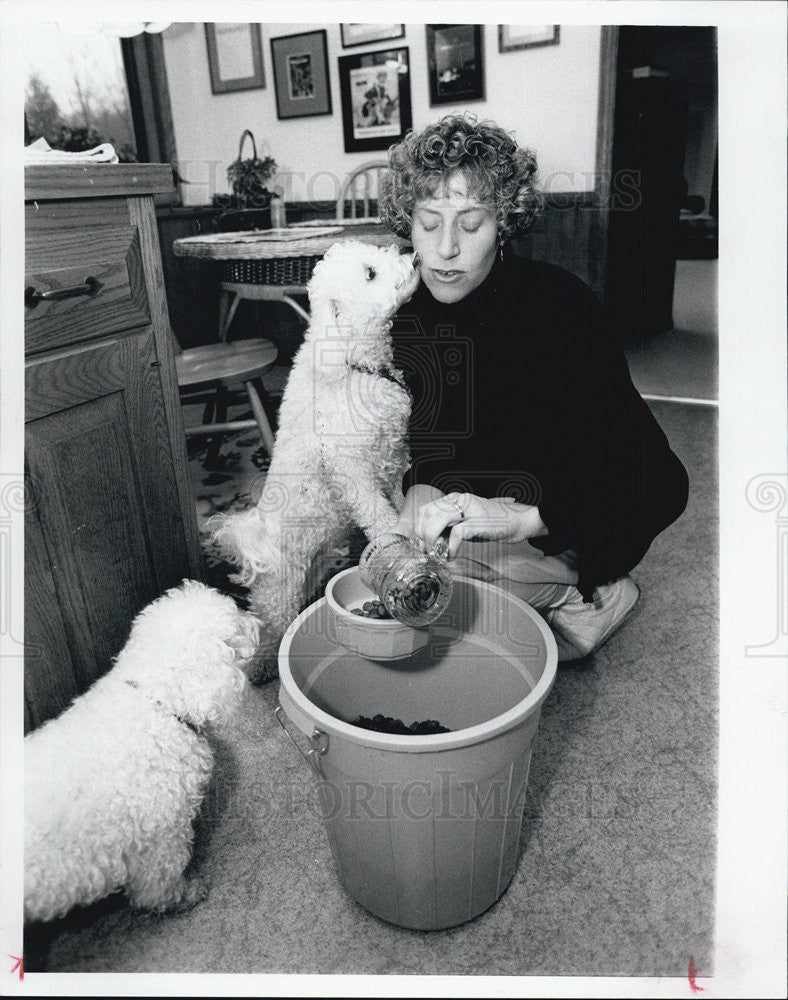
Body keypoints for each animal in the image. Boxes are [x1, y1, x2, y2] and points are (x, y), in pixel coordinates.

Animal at [23, 584, 258, 924]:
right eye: (237, 623)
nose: (257, 619)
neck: (157, 702)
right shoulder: (162, 837)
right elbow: (158, 885)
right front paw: (185, 895)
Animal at [208, 238, 418, 668]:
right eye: (370, 273)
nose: (411, 256)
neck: (354, 363)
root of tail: (252, 540)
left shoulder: (392, 456)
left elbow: (397, 496)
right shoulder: (353, 472)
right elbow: (379, 515)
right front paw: (397, 544)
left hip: (313, 563)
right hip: (279, 593)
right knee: (270, 629)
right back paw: (262, 666)